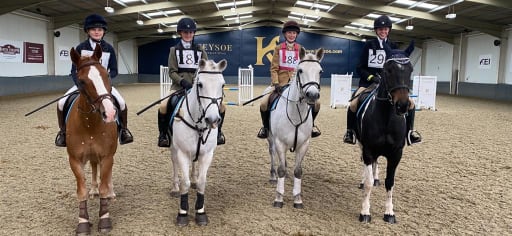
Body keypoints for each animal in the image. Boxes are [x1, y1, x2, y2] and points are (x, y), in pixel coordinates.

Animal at [66, 44, 117, 234]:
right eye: (81, 81)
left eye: (107, 75)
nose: (109, 113)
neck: (90, 125)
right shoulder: (74, 160)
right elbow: (82, 191)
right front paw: (83, 222)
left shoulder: (107, 156)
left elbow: (104, 186)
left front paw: (104, 219)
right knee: (95, 168)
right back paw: (94, 189)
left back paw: (111, 192)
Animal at [170, 58, 226, 226]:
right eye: (200, 84)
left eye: (222, 85)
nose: (212, 120)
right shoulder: (182, 152)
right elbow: (185, 182)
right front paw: (182, 213)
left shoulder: (207, 154)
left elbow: (202, 181)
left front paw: (200, 212)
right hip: (174, 148)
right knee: (174, 163)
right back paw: (174, 188)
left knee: (193, 165)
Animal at [268, 47, 324, 208]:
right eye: (300, 70)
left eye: (320, 71)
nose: (312, 95)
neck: (295, 113)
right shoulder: (280, 142)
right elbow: (281, 169)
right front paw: (278, 198)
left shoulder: (303, 144)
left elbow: (298, 171)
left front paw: (298, 199)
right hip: (271, 138)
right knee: (272, 153)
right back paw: (273, 175)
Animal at [356, 41, 416, 224]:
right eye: (388, 70)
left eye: (411, 69)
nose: (402, 106)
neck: (386, 118)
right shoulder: (368, 150)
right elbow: (368, 182)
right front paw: (365, 212)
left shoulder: (396, 154)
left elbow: (390, 182)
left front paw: (389, 213)